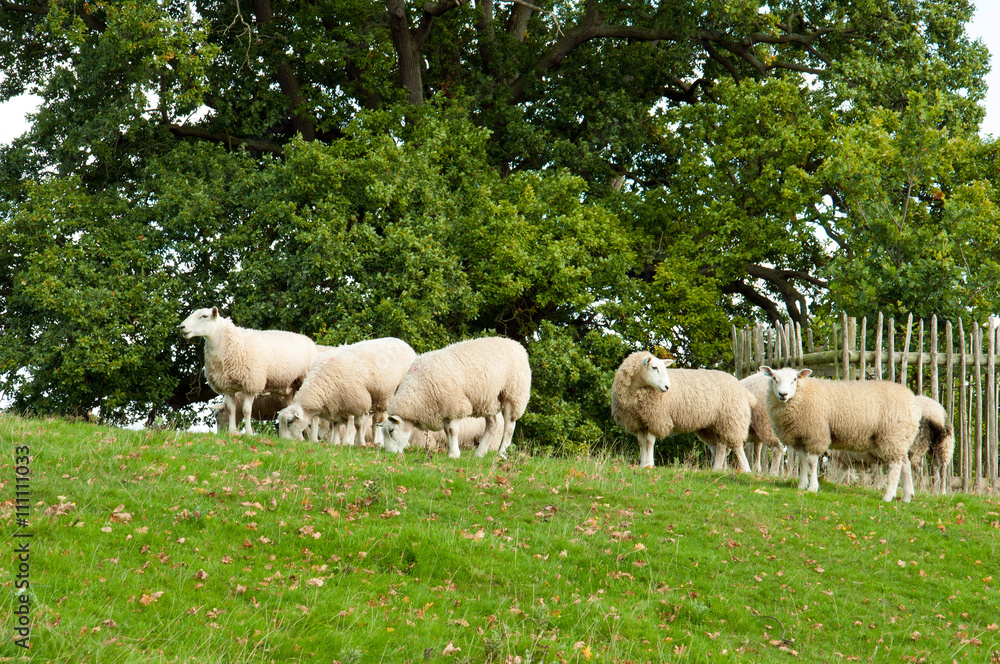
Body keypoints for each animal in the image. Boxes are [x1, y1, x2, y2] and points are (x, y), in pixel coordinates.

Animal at [180, 307, 318, 435]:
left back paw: (313, 438)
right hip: (289, 390)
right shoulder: (227, 387)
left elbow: (246, 410)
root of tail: (312, 342)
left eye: (204, 316)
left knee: (315, 414)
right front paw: (232, 431)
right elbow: (231, 409)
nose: (182, 327)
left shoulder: (251, 384)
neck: (229, 343)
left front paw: (249, 433)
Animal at [276, 337, 416, 445]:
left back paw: (378, 442)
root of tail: (403, 343)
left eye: (289, 422)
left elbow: (358, 425)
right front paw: (334, 443)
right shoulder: (336, 405)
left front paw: (359, 443)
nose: (283, 441)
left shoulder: (360, 403)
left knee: (378, 422)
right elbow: (334, 424)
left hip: (387, 395)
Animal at [382, 337, 531, 459]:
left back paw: (501, 453)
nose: (390, 454)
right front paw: (452, 452)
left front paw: (454, 454)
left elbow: (452, 431)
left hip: (513, 393)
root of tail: (517, 345)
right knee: (492, 425)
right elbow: (447, 432)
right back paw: (480, 453)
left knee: (509, 426)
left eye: (391, 431)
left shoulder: (455, 405)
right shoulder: (445, 409)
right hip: (488, 400)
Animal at [610, 352, 754, 472]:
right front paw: (641, 464)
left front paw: (649, 464)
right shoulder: (639, 422)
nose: (667, 387)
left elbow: (650, 442)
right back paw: (717, 470)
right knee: (721, 446)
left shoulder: (656, 418)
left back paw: (746, 469)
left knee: (737, 446)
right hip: (714, 424)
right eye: (654, 367)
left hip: (733, 418)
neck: (638, 390)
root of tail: (740, 385)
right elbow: (641, 443)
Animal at [760, 366, 920, 502]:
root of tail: (913, 401)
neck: (802, 394)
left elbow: (812, 462)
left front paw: (812, 487)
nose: (783, 394)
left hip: (892, 435)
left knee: (896, 465)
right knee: (905, 463)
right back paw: (907, 496)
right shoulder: (800, 438)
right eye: (774, 378)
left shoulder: (816, 434)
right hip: (901, 438)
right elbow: (803, 461)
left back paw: (888, 496)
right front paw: (802, 485)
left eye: (794, 379)